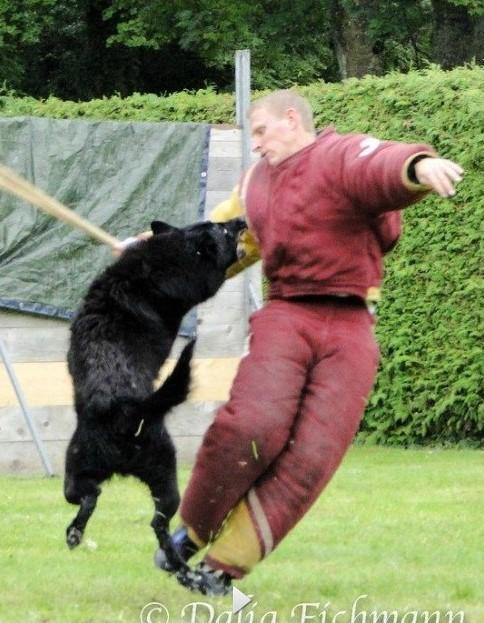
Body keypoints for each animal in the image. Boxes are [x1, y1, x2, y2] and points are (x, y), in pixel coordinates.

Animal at [64, 216, 246, 572]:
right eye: (224, 230)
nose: (242, 220)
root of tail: (124, 411)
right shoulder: (202, 281)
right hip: (165, 467)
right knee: (156, 522)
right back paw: (178, 564)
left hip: (78, 473)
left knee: (93, 498)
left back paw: (77, 534)